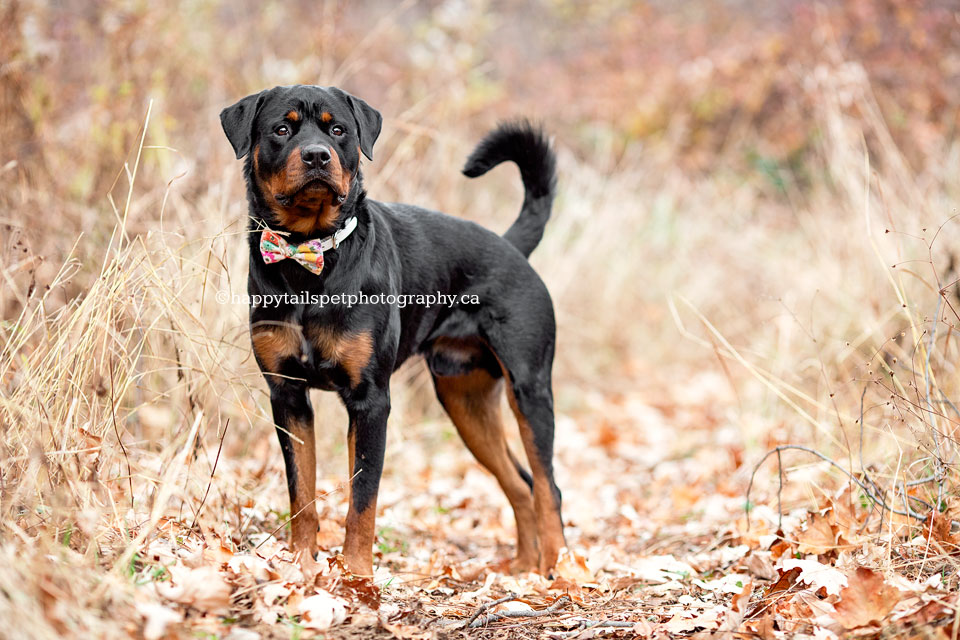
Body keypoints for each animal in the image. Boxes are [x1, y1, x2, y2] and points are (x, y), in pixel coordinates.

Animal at [218, 84, 564, 576]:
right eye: (282, 130)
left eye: (338, 130)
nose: (317, 155)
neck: (311, 262)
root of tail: (511, 246)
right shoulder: (288, 395)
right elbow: (301, 492)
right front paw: (302, 566)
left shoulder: (370, 401)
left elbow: (363, 500)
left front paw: (357, 575)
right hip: (465, 398)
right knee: (521, 483)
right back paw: (524, 568)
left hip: (529, 389)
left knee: (548, 486)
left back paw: (560, 569)